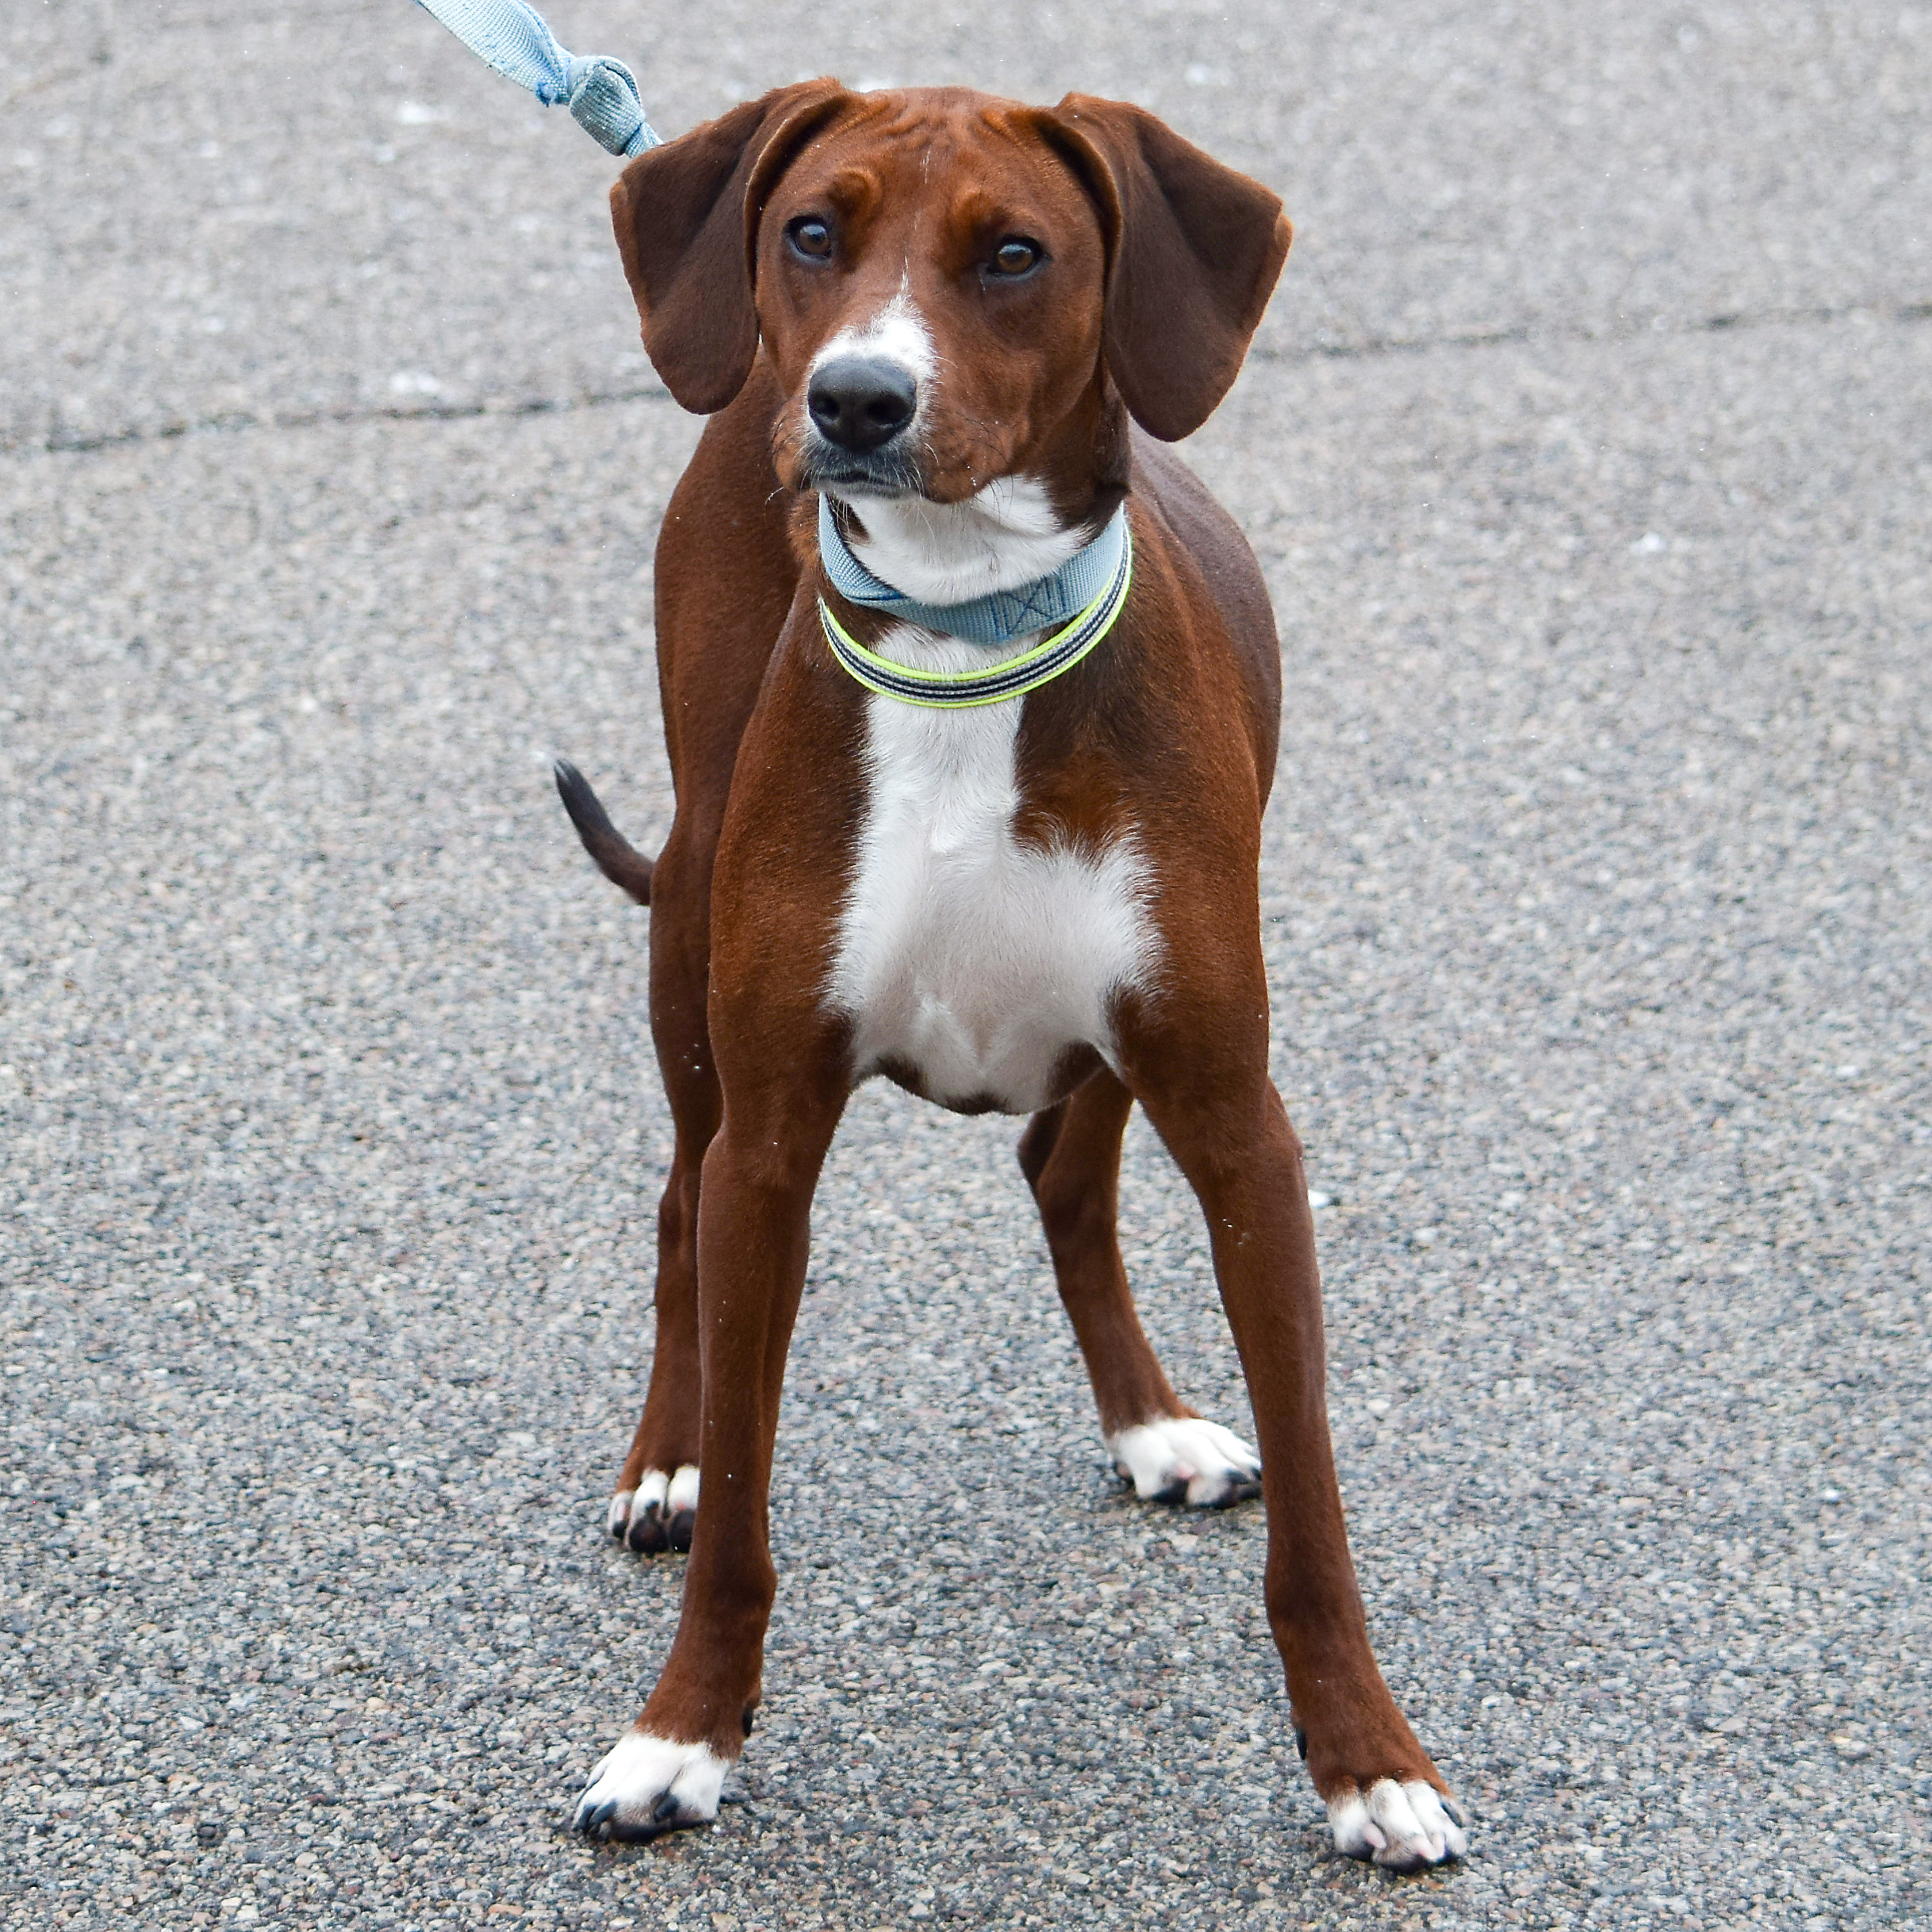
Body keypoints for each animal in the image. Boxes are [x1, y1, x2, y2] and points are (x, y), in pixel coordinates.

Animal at [556, 79, 1460, 1870]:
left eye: (1015, 253)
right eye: (812, 230)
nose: (851, 397)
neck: (969, 633)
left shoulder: (1237, 1122)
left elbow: (1316, 1518)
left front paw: (1368, 1759)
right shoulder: (775, 1137)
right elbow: (746, 1504)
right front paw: (679, 1733)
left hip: (1115, 1036)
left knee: (1061, 1165)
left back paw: (1147, 1418)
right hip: (686, 930)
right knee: (680, 1199)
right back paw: (665, 1458)